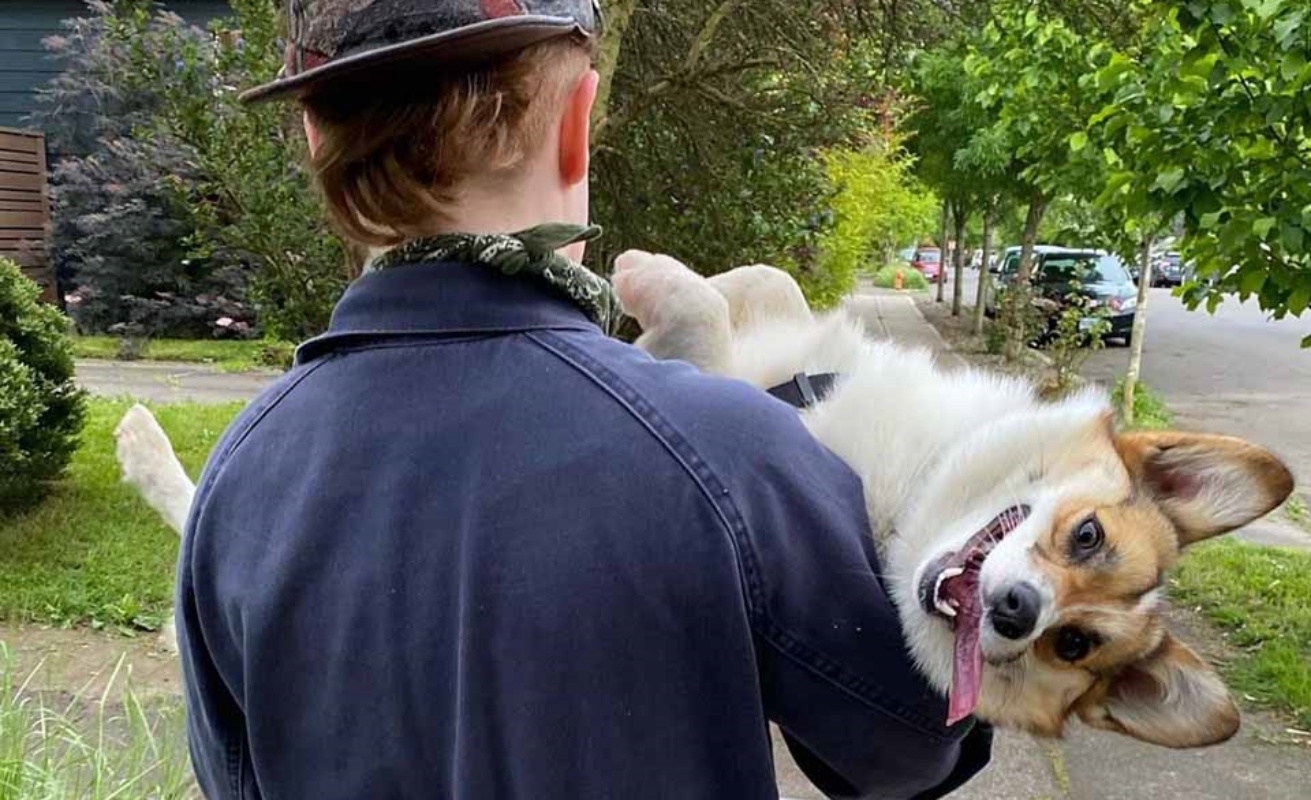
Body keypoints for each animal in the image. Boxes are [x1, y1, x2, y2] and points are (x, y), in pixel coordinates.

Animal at [117, 250, 1295, 744]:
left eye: (1071, 648)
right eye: (1084, 535)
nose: (1016, 612)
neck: (912, 487)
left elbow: (707, 326)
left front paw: (641, 289)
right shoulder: (788, 335)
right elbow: (754, 285)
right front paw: (639, 276)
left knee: (200, 523)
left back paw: (147, 456)